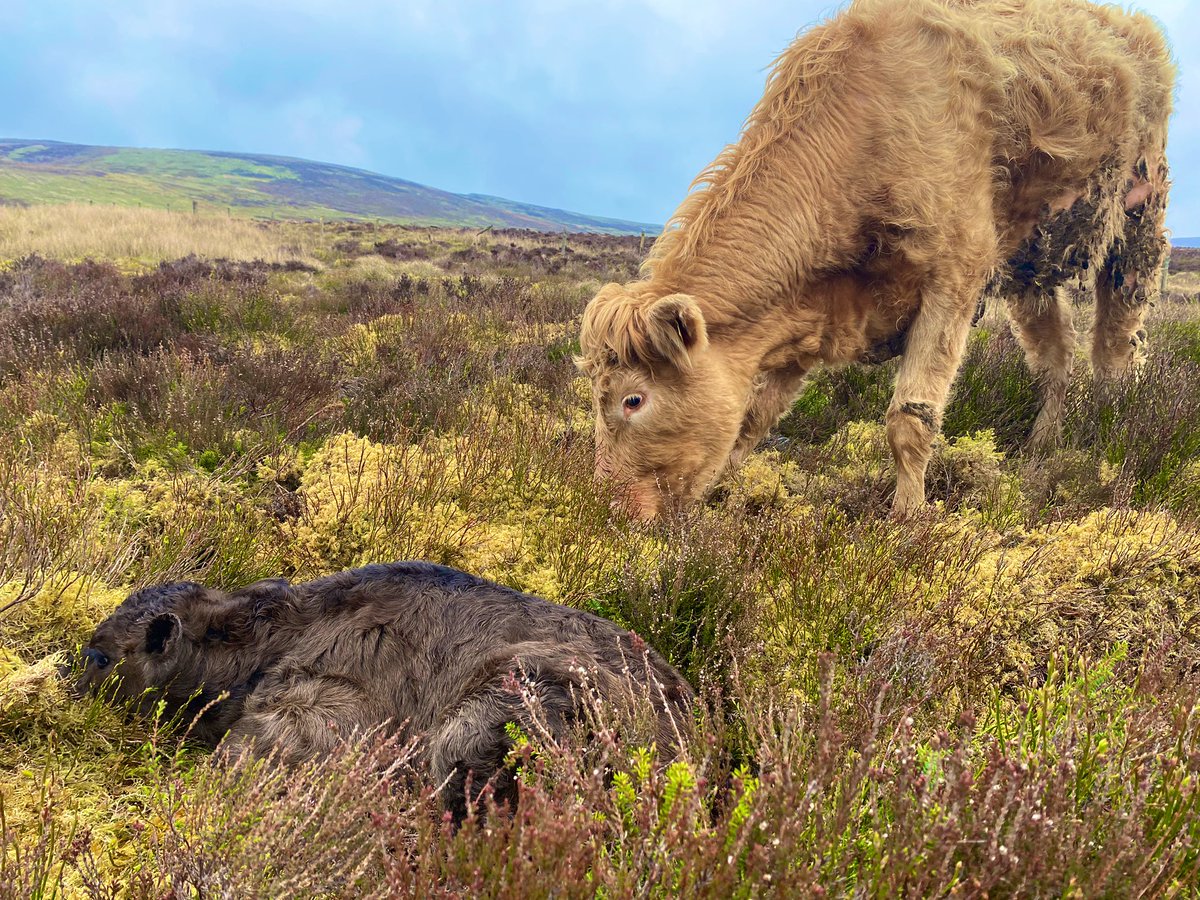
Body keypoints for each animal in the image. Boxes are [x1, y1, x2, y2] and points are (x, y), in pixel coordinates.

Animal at [577, 0, 1174, 517]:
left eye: (634, 400)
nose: (609, 509)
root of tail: (1131, 23)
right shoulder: (804, 315)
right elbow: (753, 417)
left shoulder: (956, 272)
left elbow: (910, 418)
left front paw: (906, 518)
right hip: (1033, 259)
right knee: (1055, 353)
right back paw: (1041, 444)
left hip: (1139, 219)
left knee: (1117, 347)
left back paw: (1112, 433)